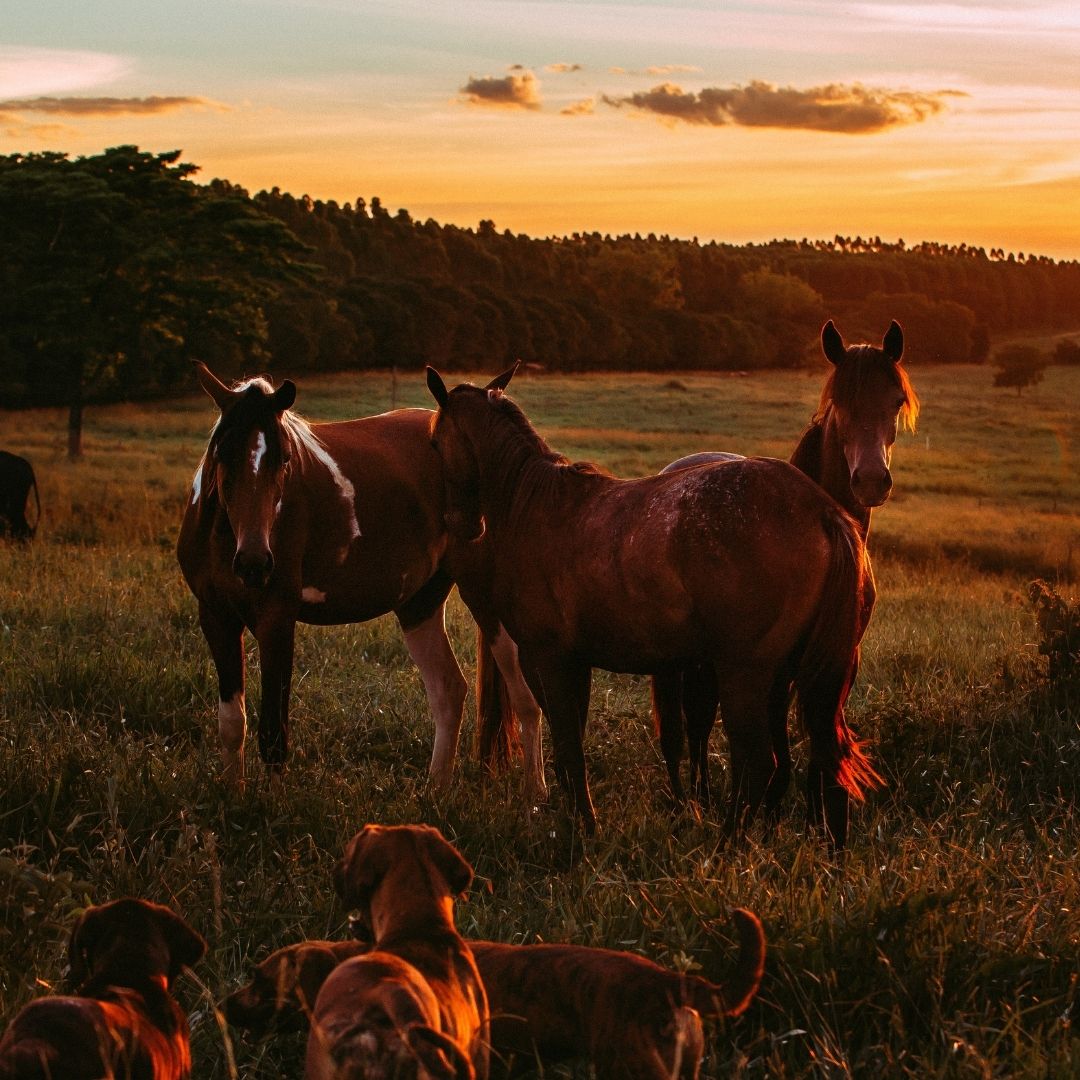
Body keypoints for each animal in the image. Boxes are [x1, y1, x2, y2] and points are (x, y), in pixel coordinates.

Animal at [176, 363, 469, 790]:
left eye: (284, 459)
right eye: (222, 453)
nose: (254, 563)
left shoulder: (277, 620)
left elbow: (273, 733)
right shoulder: (216, 617)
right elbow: (232, 724)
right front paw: (233, 794)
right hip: (420, 603)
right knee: (448, 689)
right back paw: (436, 791)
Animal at [427, 364, 879, 847]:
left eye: (435, 442)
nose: (461, 524)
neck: (535, 506)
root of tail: (822, 511)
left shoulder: (548, 659)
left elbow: (568, 747)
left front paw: (584, 827)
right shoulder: (575, 662)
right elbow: (571, 748)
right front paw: (576, 819)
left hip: (746, 674)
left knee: (759, 764)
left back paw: (724, 847)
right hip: (794, 679)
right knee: (818, 761)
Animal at [652, 320, 919, 811]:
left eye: (896, 401)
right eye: (839, 401)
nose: (872, 480)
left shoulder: (840, 661)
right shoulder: (774, 672)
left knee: (699, 722)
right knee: (684, 731)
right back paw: (690, 801)